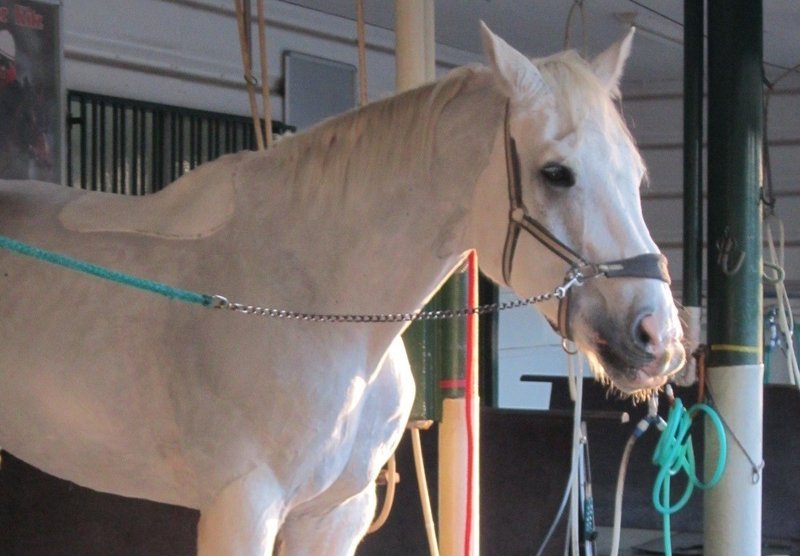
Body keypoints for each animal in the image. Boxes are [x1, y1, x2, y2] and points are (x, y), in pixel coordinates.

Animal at [0, 23, 685, 555]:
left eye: (637, 174)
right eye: (556, 173)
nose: (656, 336)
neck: (315, 304)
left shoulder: (334, 516)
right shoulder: (241, 509)